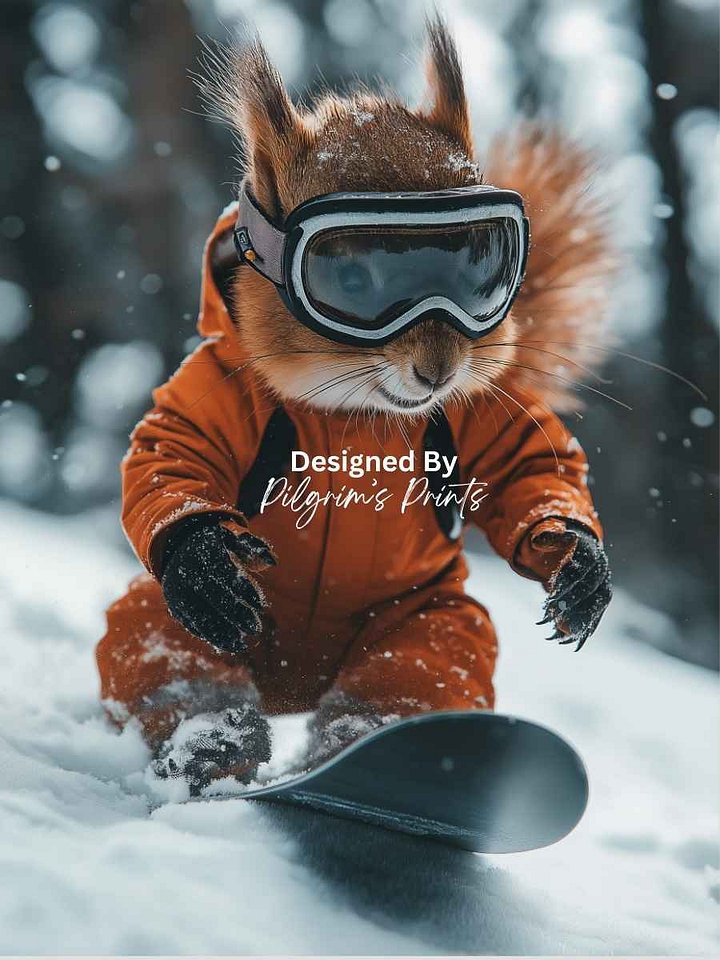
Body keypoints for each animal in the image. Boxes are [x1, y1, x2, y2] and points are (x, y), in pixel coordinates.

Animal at [97, 18, 612, 796]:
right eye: (352, 277)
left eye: (478, 267)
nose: (438, 370)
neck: (354, 416)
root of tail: (292, 690)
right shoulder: (216, 384)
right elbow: (172, 449)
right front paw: (201, 559)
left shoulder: (483, 409)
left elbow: (533, 464)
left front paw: (577, 565)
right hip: (167, 621)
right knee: (172, 656)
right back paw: (213, 747)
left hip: (428, 625)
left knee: (410, 680)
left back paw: (373, 755)